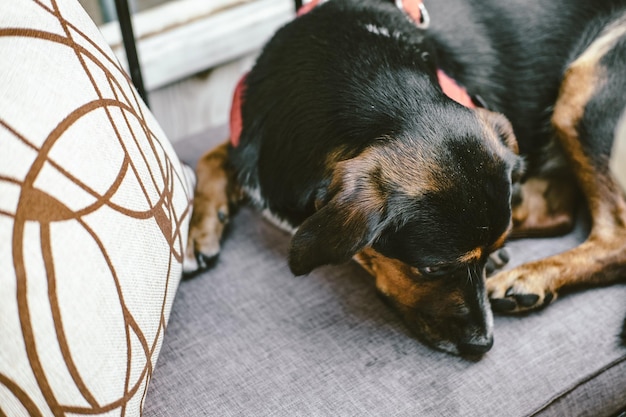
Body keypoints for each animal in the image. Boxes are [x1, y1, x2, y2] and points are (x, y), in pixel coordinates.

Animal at [183, 0, 624, 354]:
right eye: (431, 270)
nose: (483, 345)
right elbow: (210, 156)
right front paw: (196, 229)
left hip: (583, 89)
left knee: (612, 237)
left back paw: (529, 277)